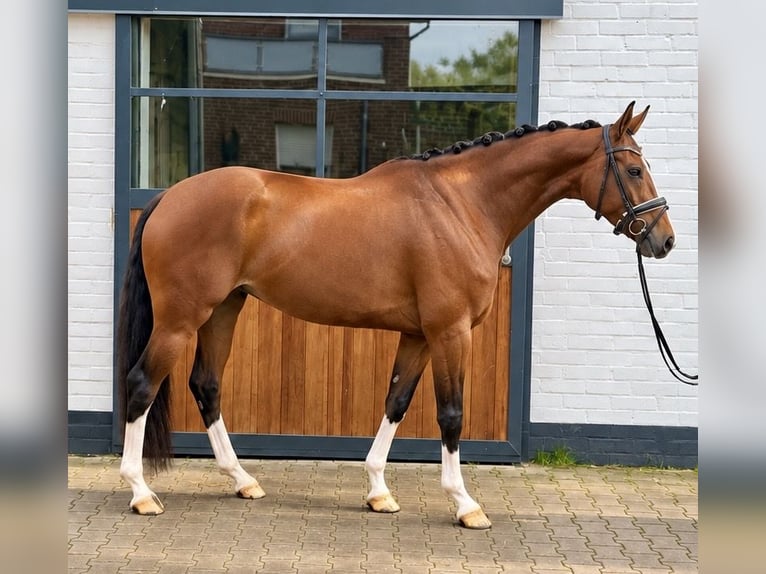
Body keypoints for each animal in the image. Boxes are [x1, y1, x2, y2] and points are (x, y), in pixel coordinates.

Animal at [117, 101, 675, 529]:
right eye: (633, 170)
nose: (664, 240)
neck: (462, 203)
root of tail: (170, 195)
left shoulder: (418, 335)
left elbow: (396, 402)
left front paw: (378, 492)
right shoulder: (450, 333)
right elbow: (451, 414)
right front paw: (465, 504)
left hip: (224, 310)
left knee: (207, 385)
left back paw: (243, 481)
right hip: (181, 319)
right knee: (142, 384)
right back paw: (141, 493)